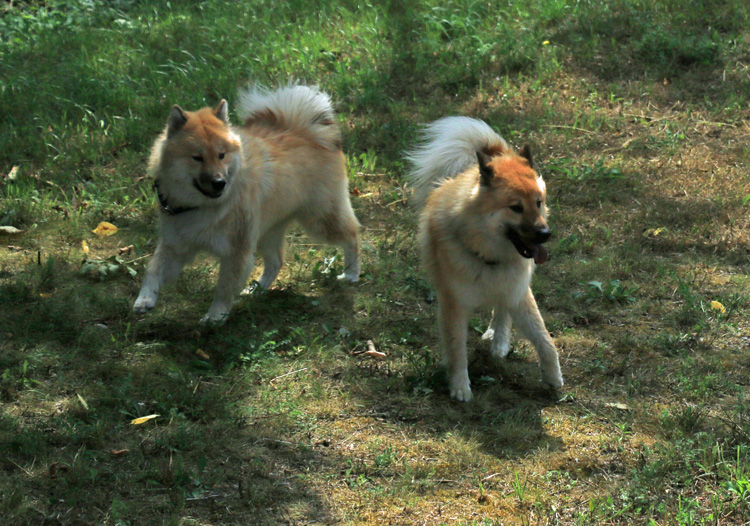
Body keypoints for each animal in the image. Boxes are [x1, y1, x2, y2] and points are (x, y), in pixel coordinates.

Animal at [134, 84, 362, 324]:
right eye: (197, 157)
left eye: (221, 155)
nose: (219, 182)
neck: (202, 205)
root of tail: (309, 132)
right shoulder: (176, 244)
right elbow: (152, 269)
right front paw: (144, 299)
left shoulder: (236, 250)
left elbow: (224, 288)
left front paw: (215, 316)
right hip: (266, 231)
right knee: (276, 261)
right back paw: (257, 288)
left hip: (319, 221)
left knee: (352, 235)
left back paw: (351, 273)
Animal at [412, 117, 564, 402]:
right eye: (516, 207)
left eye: (538, 203)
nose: (545, 234)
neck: (487, 255)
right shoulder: (454, 304)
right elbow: (457, 350)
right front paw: (460, 386)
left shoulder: (519, 292)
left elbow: (545, 339)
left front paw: (553, 377)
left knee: (503, 309)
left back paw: (500, 340)